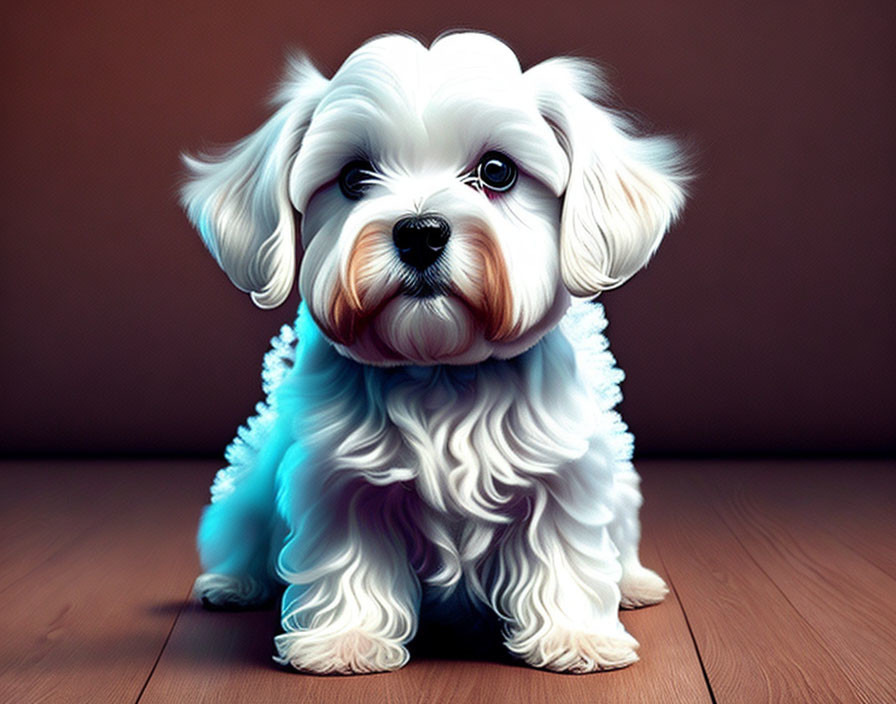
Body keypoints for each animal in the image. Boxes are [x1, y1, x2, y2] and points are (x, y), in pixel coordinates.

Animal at [180, 30, 688, 672]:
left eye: (497, 171)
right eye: (353, 177)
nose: (420, 232)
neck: (441, 372)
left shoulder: (561, 473)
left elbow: (561, 552)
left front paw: (576, 637)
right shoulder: (340, 478)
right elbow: (350, 557)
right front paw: (346, 639)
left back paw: (635, 583)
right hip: (251, 483)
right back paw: (233, 583)